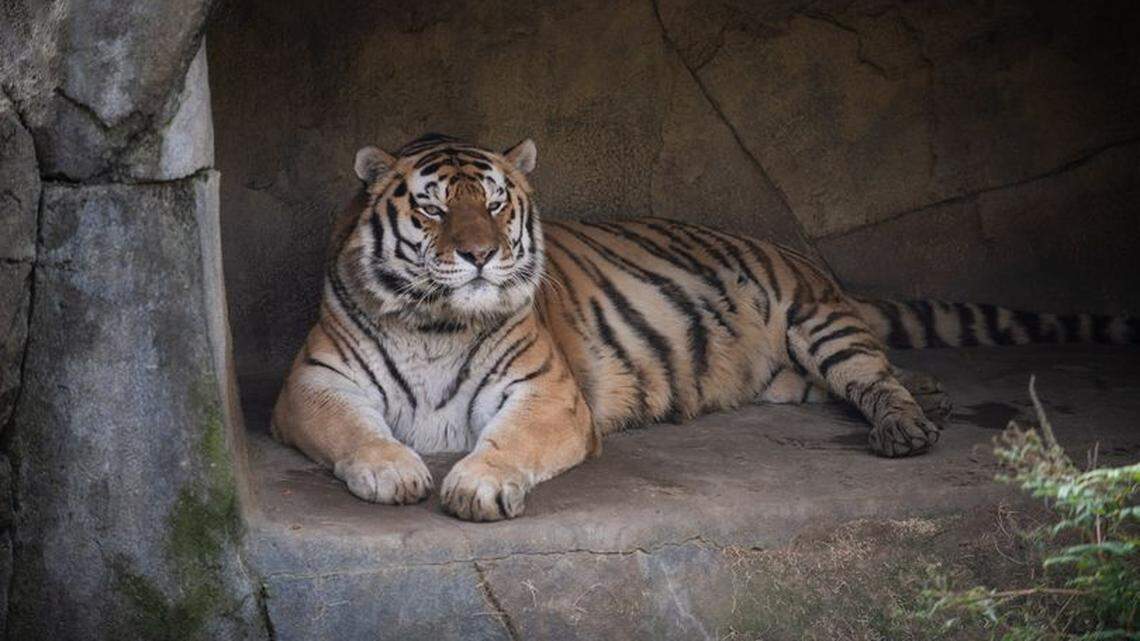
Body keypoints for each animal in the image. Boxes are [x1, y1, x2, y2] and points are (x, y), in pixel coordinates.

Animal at [271, 133, 1138, 522]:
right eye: (431, 208)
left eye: (493, 202)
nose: (481, 255)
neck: (437, 321)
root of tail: (806, 259)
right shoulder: (313, 384)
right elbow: (355, 429)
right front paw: (394, 469)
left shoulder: (548, 393)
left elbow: (508, 441)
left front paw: (477, 482)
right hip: (792, 375)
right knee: (869, 378)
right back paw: (933, 398)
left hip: (819, 323)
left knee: (874, 377)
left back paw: (908, 425)